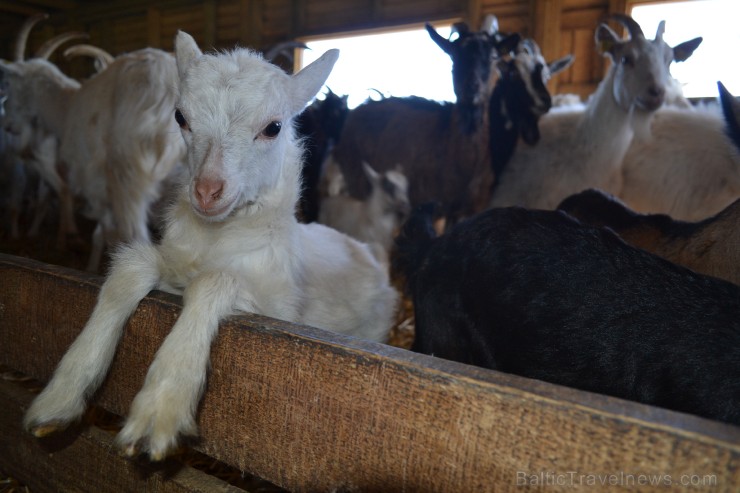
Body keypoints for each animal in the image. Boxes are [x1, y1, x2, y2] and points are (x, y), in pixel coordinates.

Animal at [24, 30, 398, 462]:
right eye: (180, 118)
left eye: (273, 127)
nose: (206, 191)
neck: (215, 238)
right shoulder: (171, 264)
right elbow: (132, 266)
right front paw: (61, 394)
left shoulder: (275, 310)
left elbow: (214, 281)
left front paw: (162, 404)